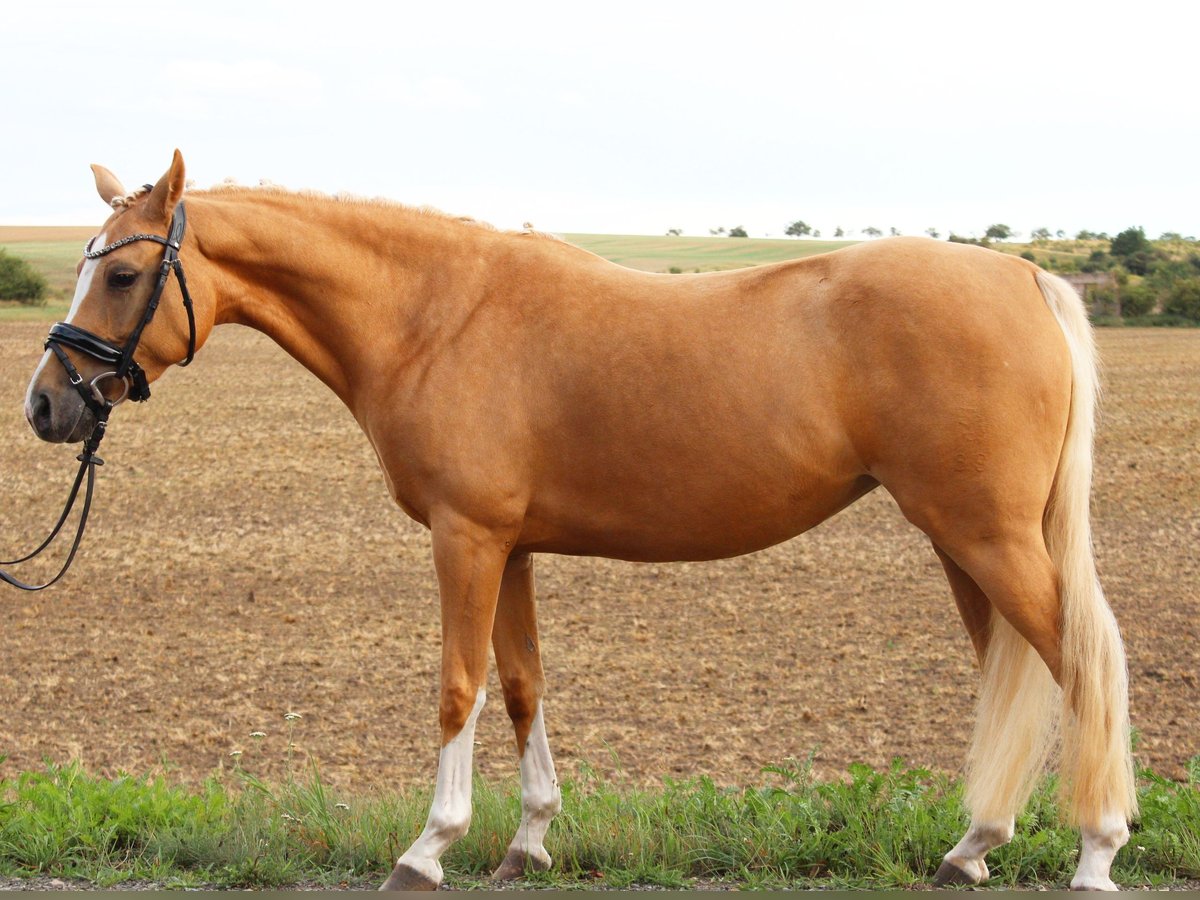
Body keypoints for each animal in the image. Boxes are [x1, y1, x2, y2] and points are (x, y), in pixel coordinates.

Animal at [23, 151, 1137, 892]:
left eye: (121, 273)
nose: (46, 406)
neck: (435, 315)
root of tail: (1025, 275)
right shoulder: (510, 546)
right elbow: (521, 687)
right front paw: (529, 840)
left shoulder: (465, 539)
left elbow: (458, 687)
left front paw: (428, 849)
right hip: (965, 541)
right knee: (1016, 672)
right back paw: (973, 848)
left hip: (988, 537)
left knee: (1083, 663)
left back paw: (1096, 852)